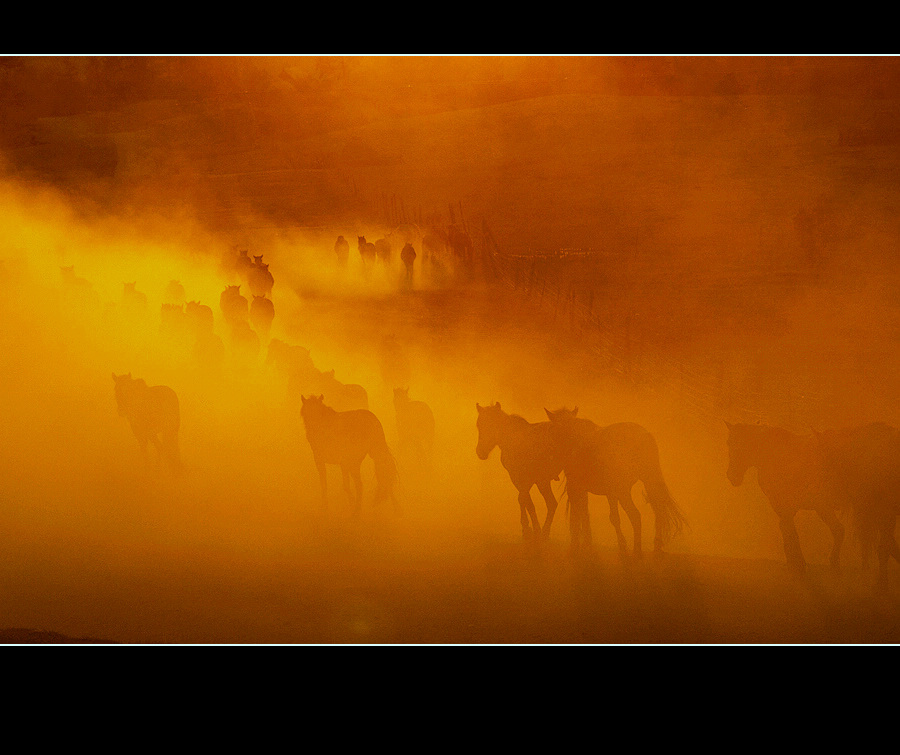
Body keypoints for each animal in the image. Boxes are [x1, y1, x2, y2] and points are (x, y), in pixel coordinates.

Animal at [544, 408, 684, 560]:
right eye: (555, 430)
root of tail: (645, 436)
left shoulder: (576, 488)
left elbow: (578, 517)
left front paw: (576, 548)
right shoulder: (590, 490)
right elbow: (585, 515)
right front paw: (587, 546)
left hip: (623, 489)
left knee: (635, 515)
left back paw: (635, 550)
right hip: (647, 482)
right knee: (657, 510)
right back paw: (655, 547)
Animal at [724, 422, 844, 576]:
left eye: (734, 444)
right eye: (729, 442)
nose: (732, 476)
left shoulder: (784, 506)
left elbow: (789, 533)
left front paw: (797, 566)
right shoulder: (794, 508)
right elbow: (789, 532)